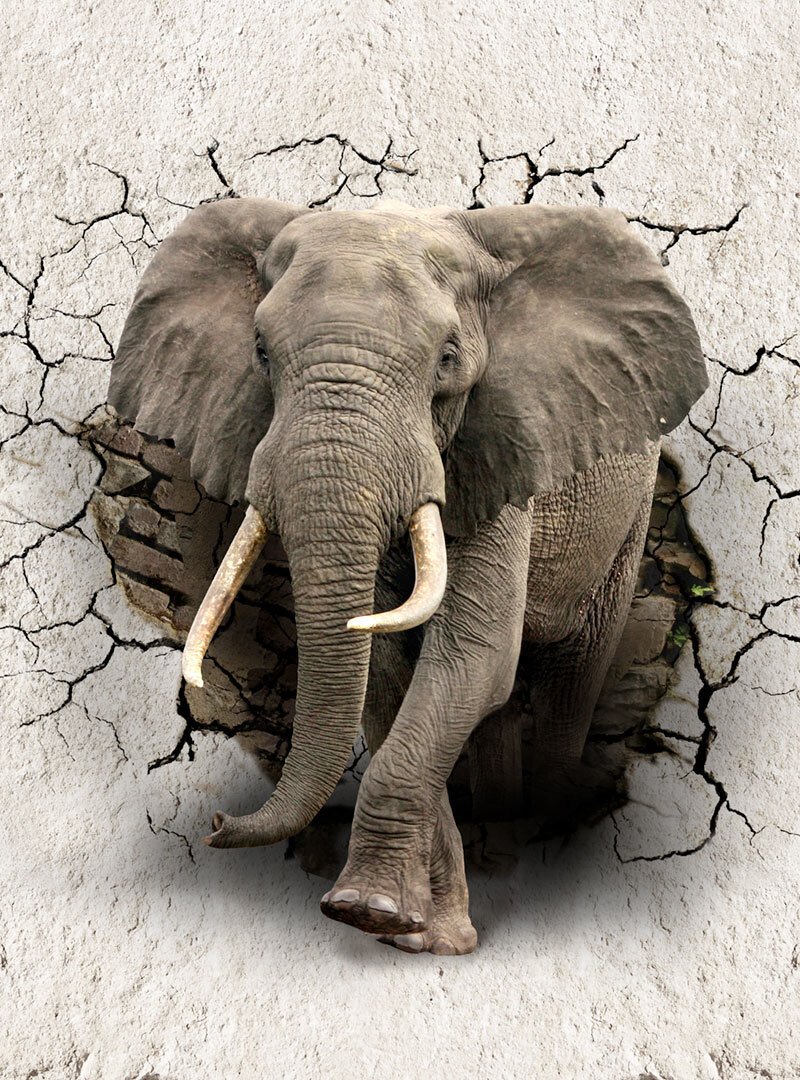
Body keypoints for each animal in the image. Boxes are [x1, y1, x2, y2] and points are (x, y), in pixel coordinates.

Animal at [108, 196, 706, 955]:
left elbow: (471, 659)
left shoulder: (495, 451)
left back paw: (548, 838)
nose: (216, 825)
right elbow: (391, 678)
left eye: (447, 359)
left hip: (628, 504)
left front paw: (373, 913)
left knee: (571, 673)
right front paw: (414, 932)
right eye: (261, 353)